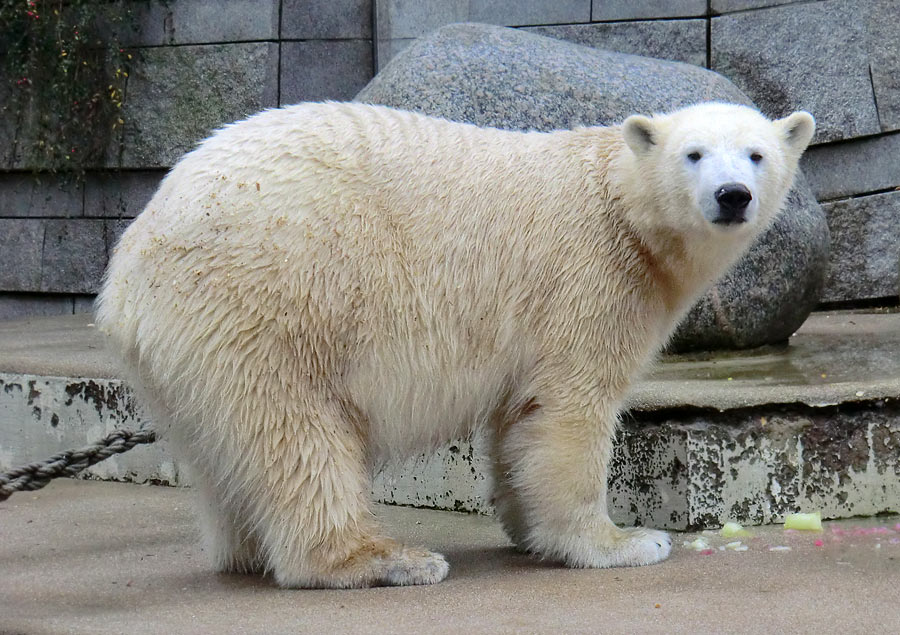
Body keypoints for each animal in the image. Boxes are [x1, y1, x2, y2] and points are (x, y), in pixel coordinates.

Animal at [96, 102, 816, 588]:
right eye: (694, 153)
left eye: (756, 154)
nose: (732, 195)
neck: (617, 206)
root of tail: (128, 268)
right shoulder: (589, 279)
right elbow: (569, 409)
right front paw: (623, 542)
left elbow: (520, 419)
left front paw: (528, 530)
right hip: (270, 299)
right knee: (295, 432)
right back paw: (385, 560)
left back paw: (248, 549)